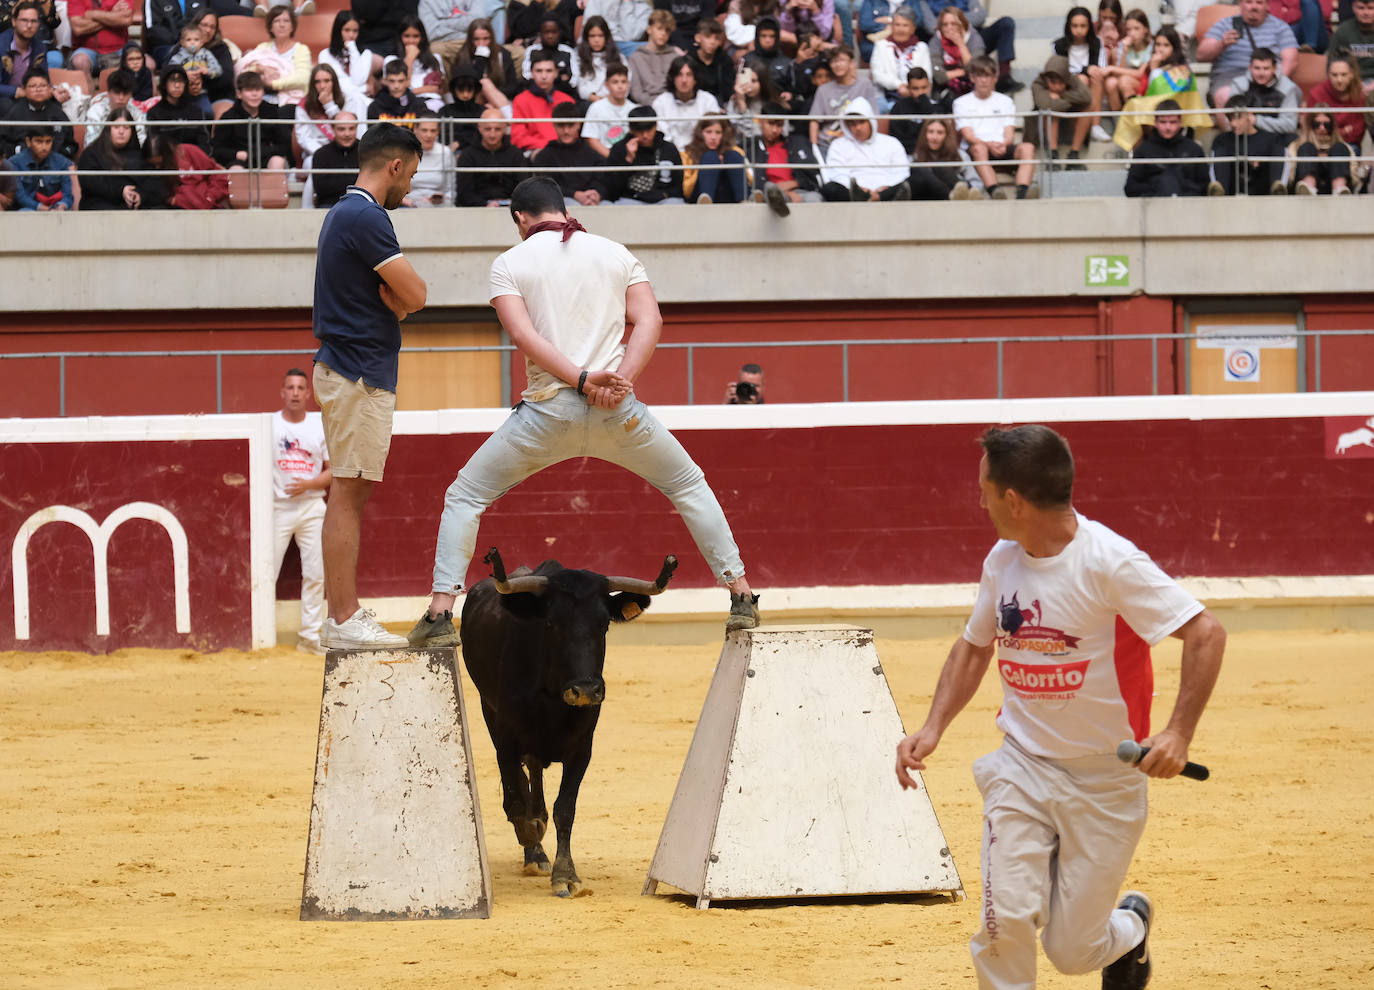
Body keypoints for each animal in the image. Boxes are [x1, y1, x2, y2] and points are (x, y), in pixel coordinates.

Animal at [461, 549, 676, 895]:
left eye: (604, 624)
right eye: (551, 623)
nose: (586, 690)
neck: (551, 695)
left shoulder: (581, 749)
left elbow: (565, 809)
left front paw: (565, 875)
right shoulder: (506, 740)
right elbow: (515, 797)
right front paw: (532, 836)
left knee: (535, 769)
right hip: (488, 711)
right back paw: (534, 842)